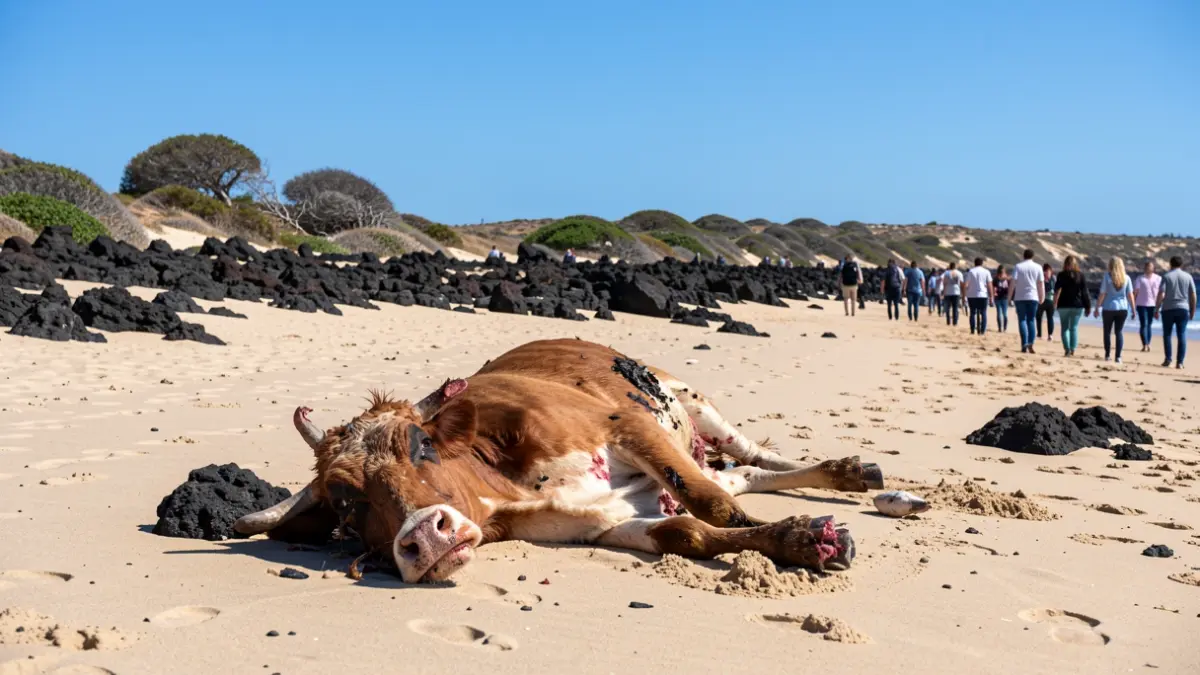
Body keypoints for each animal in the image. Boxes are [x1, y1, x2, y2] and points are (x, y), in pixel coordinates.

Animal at [234, 338, 885, 584]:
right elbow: (688, 530)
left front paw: (805, 537)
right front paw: (796, 541)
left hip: (693, 404)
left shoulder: (626, 425)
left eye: (421, 443)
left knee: (748, 457)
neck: (513, 484)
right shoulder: (601, 522)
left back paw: (851, 473)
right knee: (742, 474)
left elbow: (712, 506)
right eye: (347, 502)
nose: (427, 535)